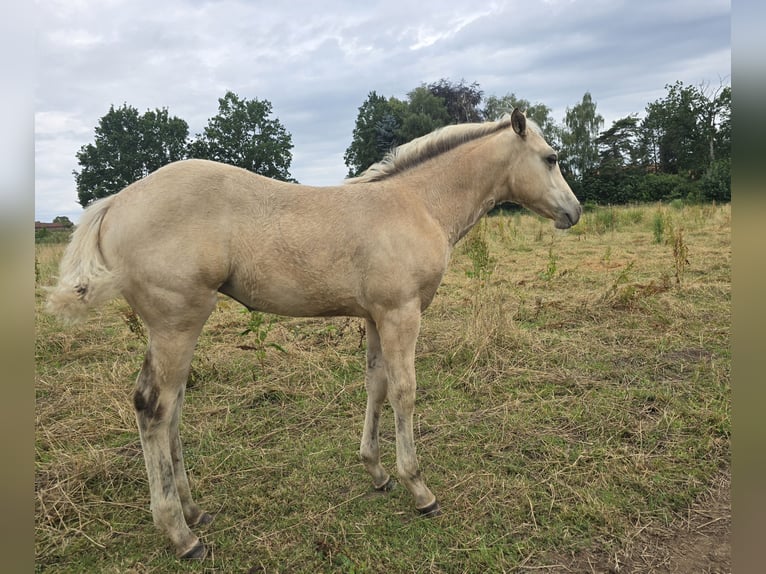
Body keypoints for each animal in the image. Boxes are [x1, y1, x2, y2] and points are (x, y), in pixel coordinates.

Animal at [47, 108, 581, 559]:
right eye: (551, 158)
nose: (574, 212)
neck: (416, 204)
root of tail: (117, 201)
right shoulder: (402, 313)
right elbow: (404, 391)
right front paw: (419, 488)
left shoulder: (376, 316)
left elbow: (376, 385)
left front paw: (377, 471)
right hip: (177, 323)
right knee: (154, 408)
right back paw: (181, 534)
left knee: (170, 407)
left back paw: (194, 511)